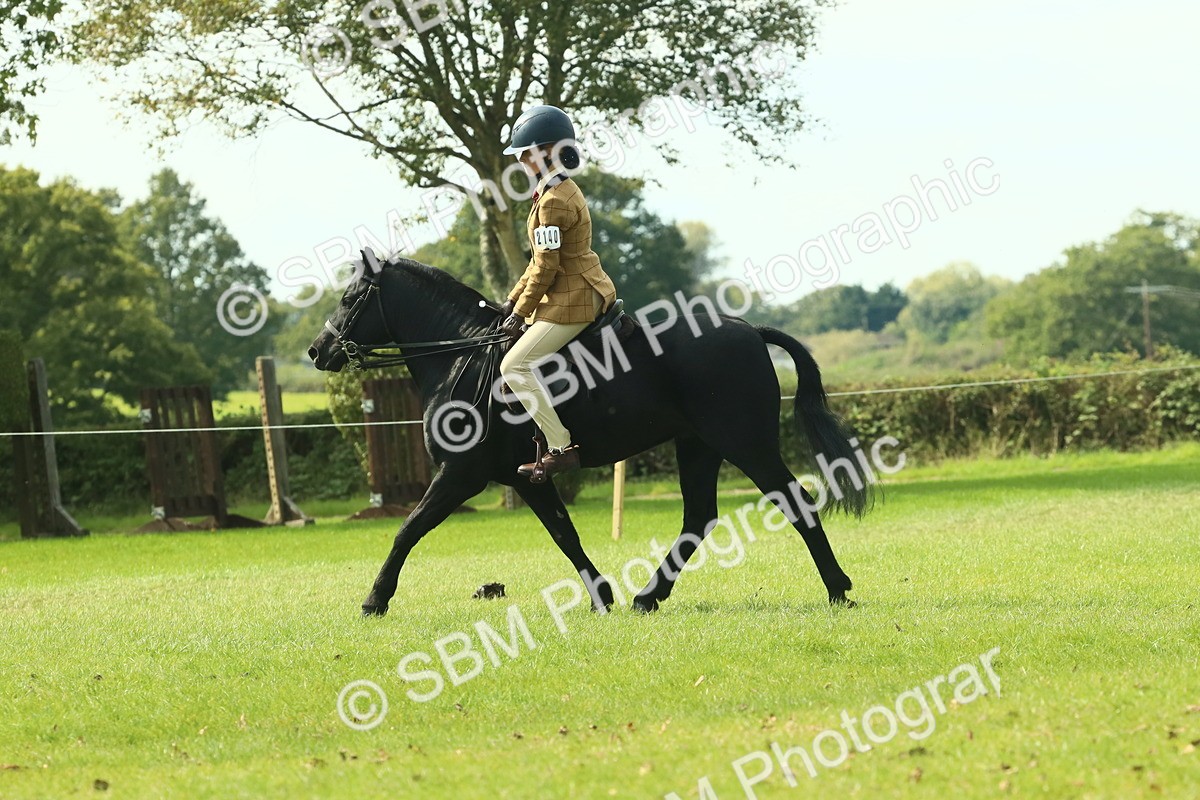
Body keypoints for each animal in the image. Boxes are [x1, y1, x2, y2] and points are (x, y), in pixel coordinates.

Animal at [308, 254, 870, 617]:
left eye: (350, 298)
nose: (318, 351)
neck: (461, 357)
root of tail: (750, 329)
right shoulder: (527, 478)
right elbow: (565, 534)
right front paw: (602, 596)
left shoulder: (461, 474)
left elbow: (408, 529)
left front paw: (374, 600)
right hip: (698, 446)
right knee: (699, 517)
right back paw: (647, 597)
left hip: (744, 443)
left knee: (794, 502)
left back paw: (838, 590)